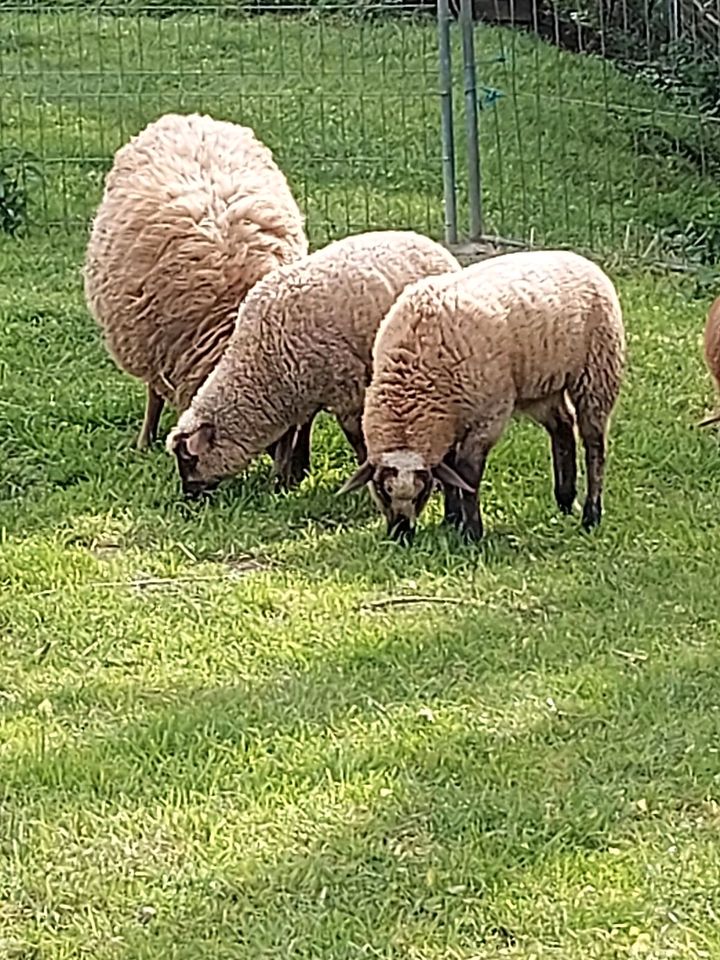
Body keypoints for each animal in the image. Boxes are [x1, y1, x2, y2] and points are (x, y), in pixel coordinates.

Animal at [165, 227, 458, 496]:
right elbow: (289, 438)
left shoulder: (344, 388)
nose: (188, 495)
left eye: (189, 459)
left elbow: (354, 435)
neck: (259, 358)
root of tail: (428, 242)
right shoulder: (292, 393)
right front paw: (281, 481)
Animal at [340, 248, 628, 544]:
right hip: (541, 386)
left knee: (594, 444)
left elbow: (466, 471)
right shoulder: (445, 420)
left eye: (423, 490)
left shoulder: (489, 415)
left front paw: (471, 532)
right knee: (562, 426)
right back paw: (565, 501)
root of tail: (580, 259)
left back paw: (591, 515)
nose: (401, 534)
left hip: (598, 368)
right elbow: (448, 466)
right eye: (381, 489)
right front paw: (451, 519)